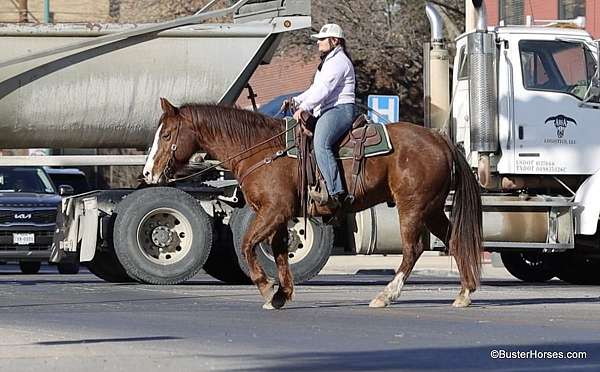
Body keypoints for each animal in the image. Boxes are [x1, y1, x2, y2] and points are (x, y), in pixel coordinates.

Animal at [142, 98, 482, 308]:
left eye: (167, 134)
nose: (148, 173)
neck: (261, 150)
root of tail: (439, 139)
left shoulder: (273, 211)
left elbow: (248, 245)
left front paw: (265, 287)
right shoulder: (280, 215)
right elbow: (279, 252)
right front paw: (281, 294)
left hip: (412, 207)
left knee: (413, 249)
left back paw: (385, 295)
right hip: (433, 208)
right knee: (454, 240)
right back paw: (464, 293)